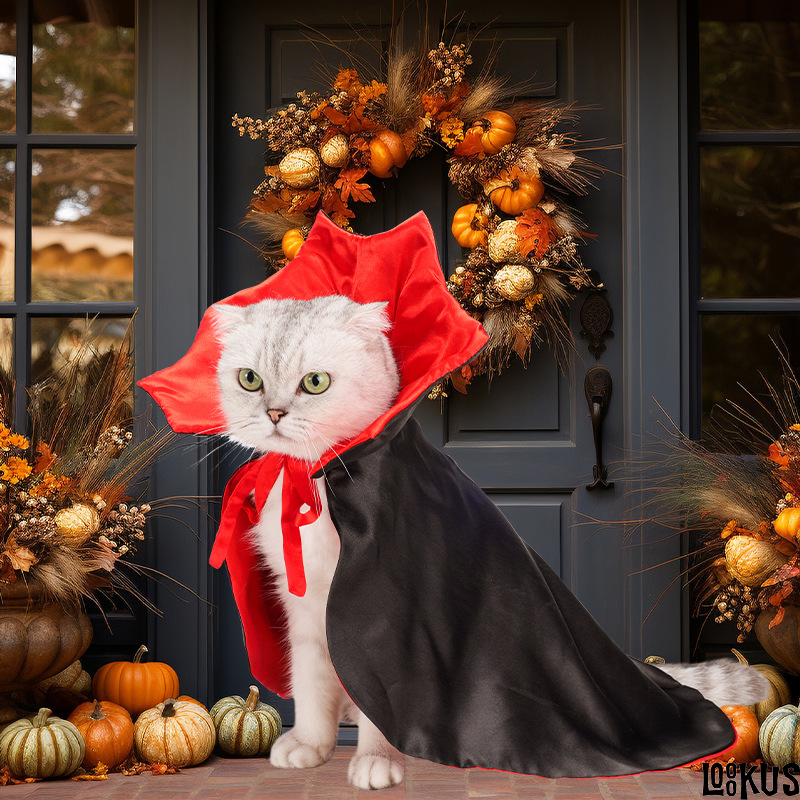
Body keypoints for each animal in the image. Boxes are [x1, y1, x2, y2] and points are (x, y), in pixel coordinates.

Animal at [212, 294, 768, 788]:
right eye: (250, 380)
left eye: (316, 383)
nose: (274, 413)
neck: (319, 480)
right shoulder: (303, 608)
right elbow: (309, 680)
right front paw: (311, 745)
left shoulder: (385, 616)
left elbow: (381, 703)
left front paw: (375, 762)